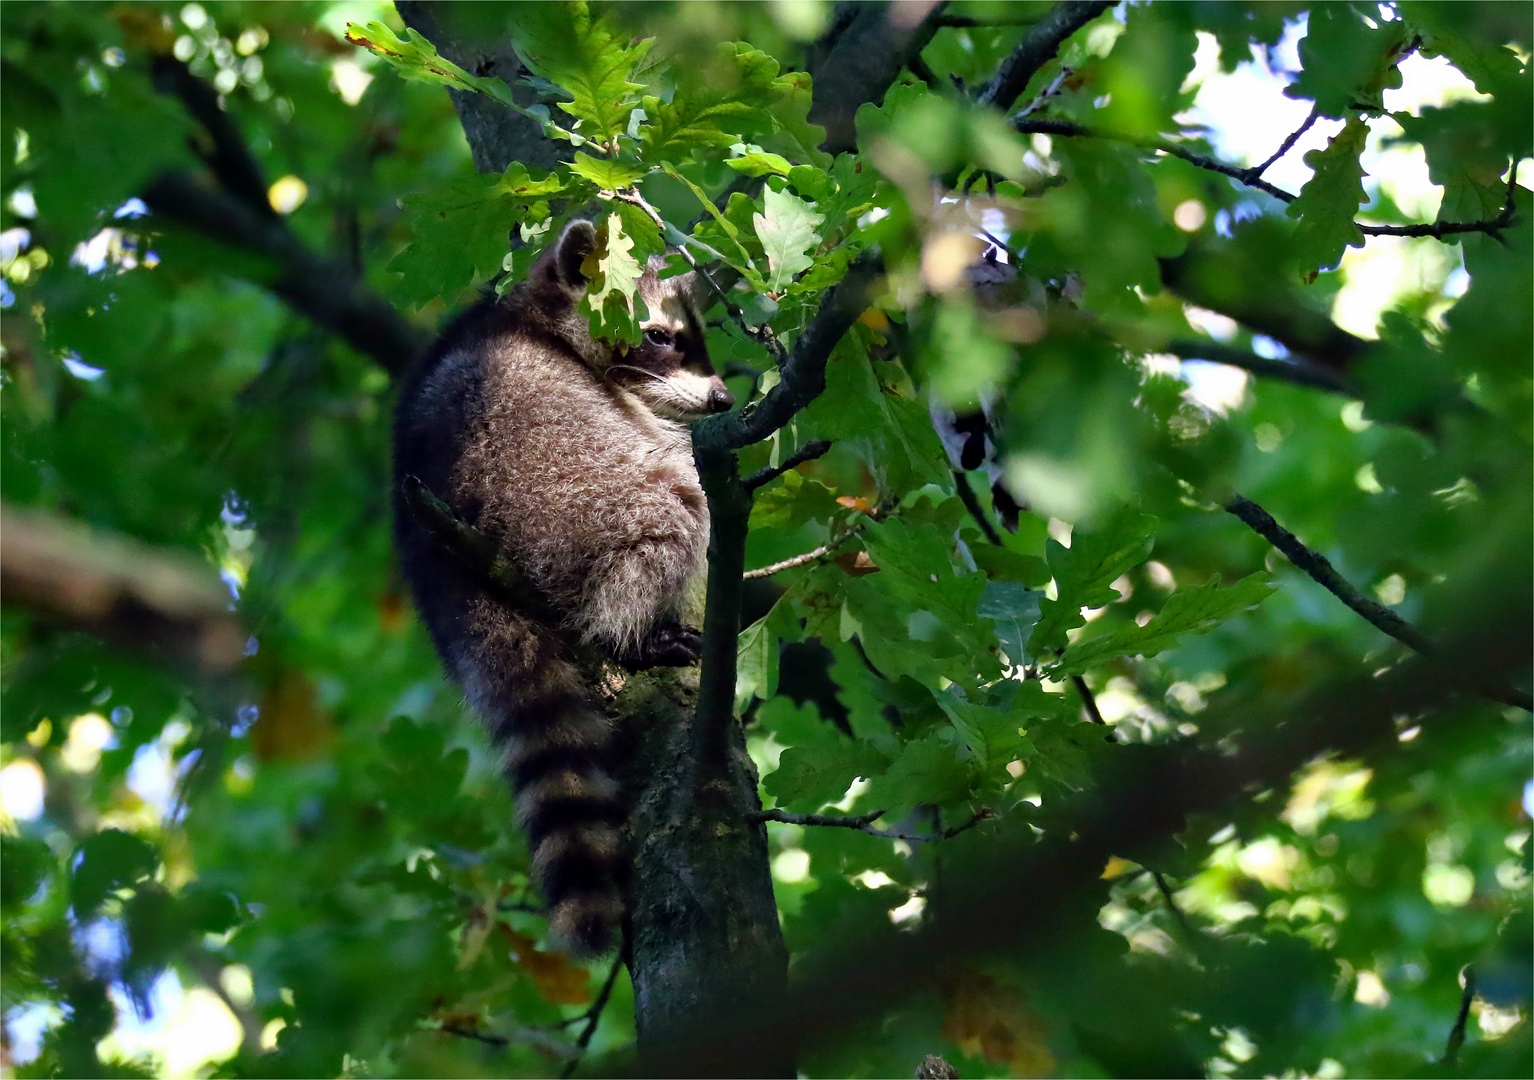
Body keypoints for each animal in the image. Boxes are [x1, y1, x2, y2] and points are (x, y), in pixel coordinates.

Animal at [392, 219, 733, 951]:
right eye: (661, 336)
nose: (724, 398)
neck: (537, 313)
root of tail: (450, 565)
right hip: (552, 491)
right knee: (675, 499)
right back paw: (627, 632)